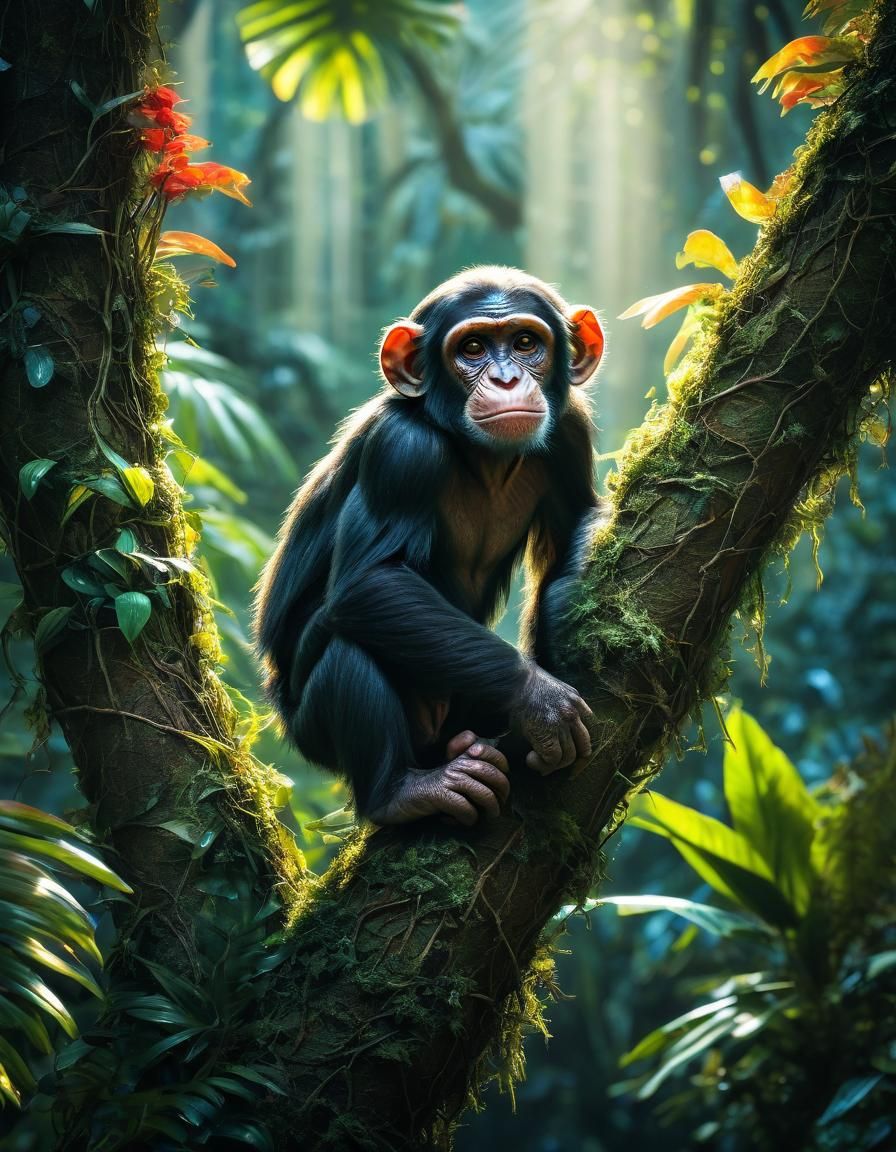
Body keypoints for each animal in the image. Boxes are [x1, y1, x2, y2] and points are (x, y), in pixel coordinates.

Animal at [254, 266, 606, 826]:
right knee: (347, 643)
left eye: (526, 343)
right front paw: (539, 698)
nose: (506, 379)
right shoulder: (402, 450)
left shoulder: (570, 429)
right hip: (311, 732)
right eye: (473, 348)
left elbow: (578, 521)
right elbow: (370, 581)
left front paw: (561, 607)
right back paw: (402, 793)